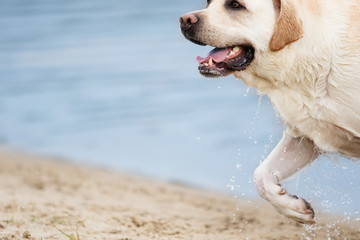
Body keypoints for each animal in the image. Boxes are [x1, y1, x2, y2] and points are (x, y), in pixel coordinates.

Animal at [179, 0, 360, 225]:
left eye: (235, 5)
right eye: (208, 3)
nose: (184, 19)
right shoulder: (306, 134)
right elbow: (260, 176)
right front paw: (293, 208)